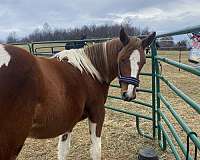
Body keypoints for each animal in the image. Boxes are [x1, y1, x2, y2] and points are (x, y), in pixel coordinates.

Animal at [0, 28, 156, 159]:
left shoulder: (67, 120)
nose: (129, 94)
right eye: (122, 59)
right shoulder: (97, 114)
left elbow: (63, 151)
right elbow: (95, 151)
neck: (90, 71)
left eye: (143, 62)